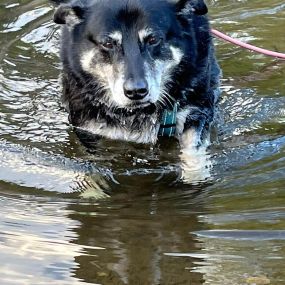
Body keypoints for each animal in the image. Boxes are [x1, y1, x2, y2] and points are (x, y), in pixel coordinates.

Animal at [52, 0, 220, 152]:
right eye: (108, 43)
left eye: (153, 39)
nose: (136, 92)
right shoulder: (89, 127)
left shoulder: (197, 111)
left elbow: (193, 150)